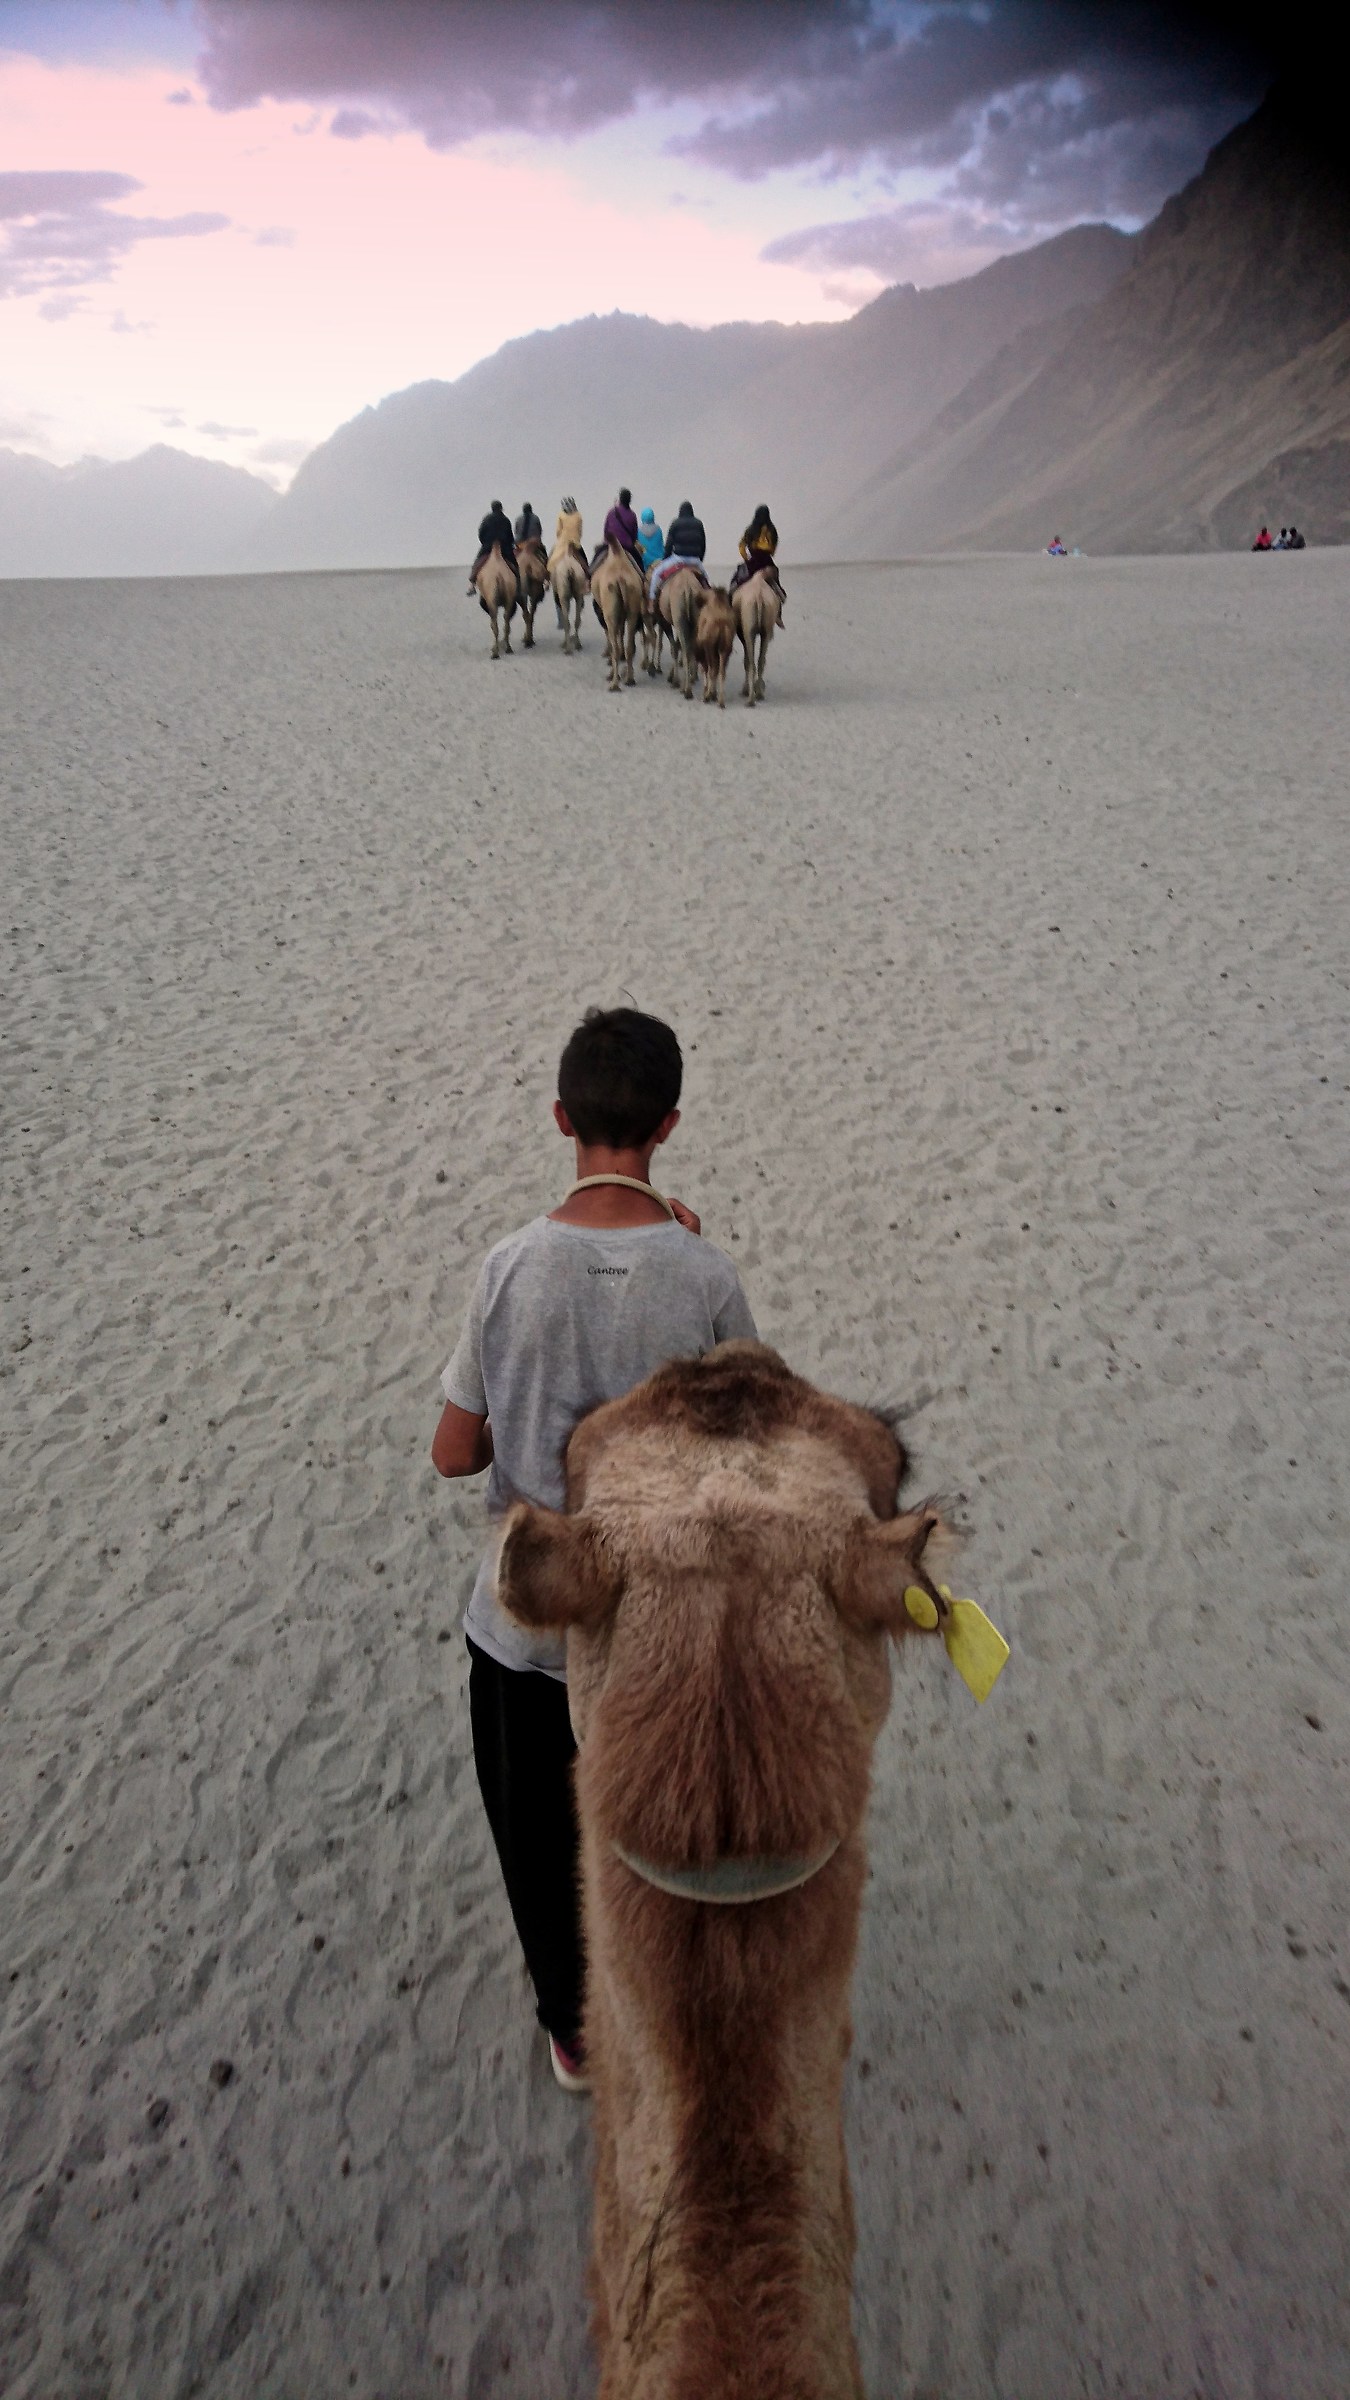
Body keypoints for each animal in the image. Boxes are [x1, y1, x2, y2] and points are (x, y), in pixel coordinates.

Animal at [591, 546, 646, 693]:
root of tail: (620, 579)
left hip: (610, 611)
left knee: (615, 646)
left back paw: (614, 683)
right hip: (632, 607)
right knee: (629, 645)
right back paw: (629, 679)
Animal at [656, 564, 708, 700]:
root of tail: (687, 588)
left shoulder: (665, 621)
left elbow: (674, 647)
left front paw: (673, 679)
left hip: (679, 618)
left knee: (685, 649)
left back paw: (686, 690)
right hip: (694, 619)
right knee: (690, 647)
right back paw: (690, 682)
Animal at [733, 568, 781, 705]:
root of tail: (759, 597)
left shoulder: (743, 634)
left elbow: (746, 660)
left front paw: (745, 690)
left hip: (749, 631)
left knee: (751, 662)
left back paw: (750, 698)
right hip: (766, 630)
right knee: (761, 660)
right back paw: (759, 694)